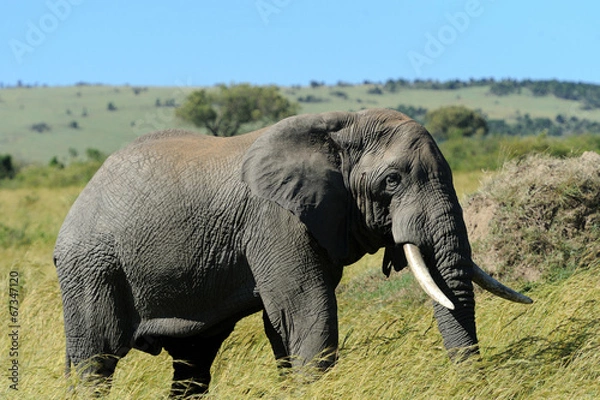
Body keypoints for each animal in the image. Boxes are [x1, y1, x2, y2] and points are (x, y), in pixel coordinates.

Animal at [52, 107, 528, 396]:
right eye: (392, 181)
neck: (342, 127)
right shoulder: (275, 222)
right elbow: (306, 316)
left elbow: (283, 327)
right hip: (90, 269)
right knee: (95, 362)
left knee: (192, 365)